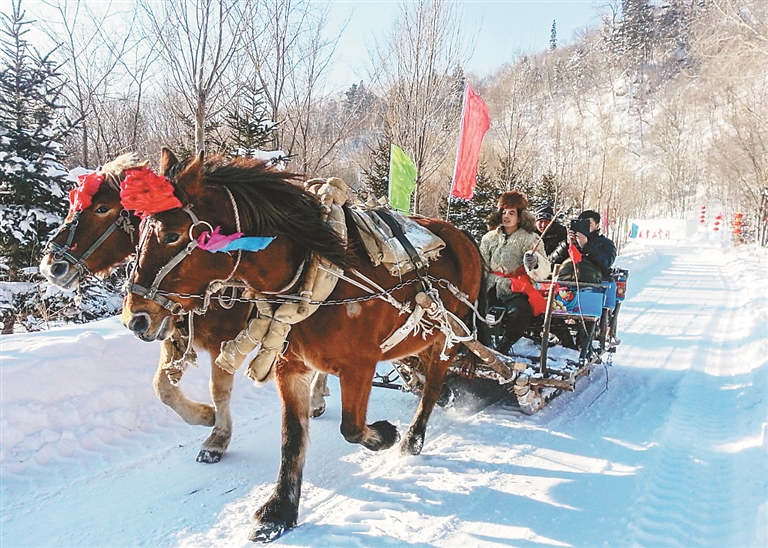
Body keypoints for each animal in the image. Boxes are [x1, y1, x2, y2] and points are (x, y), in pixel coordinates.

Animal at [39, 153, 252, 462]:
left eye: (102, 208)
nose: (51, 266)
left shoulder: (222, 341)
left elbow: (219, 389)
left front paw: (217, 439)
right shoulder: (167, 331)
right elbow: (161, 387)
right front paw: (204, 415)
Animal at [121, 148, 480, 540]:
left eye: (171, 234)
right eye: (138, 232)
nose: (135, 317)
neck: (318, 274)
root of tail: (465, 238)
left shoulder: (360, 366)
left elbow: (352, 428)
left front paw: (384, 435)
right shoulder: (289, 366)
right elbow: (291, 438)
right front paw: (280, 510)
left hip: (449, 335)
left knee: (433, 384)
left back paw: (414, 436)